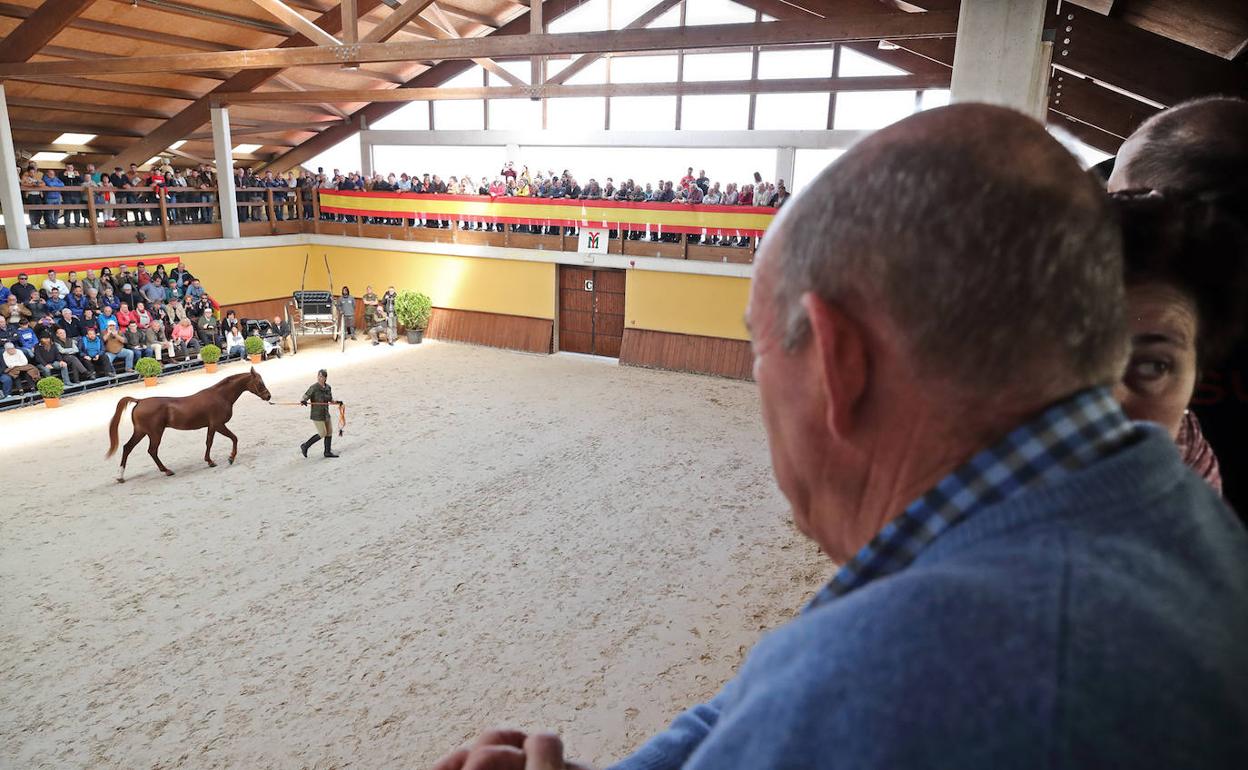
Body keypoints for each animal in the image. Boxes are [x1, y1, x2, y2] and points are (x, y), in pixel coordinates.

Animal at [107, 366, 273, 479]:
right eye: (260, 383)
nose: (268, 396)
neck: (220, 396)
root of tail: (140, 401)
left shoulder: (211, 426)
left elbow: (209, 442)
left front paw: (210, 461)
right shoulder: (219, 425)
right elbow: (234, 438)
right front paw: (231, 458)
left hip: (141, 432)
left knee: (127, 447)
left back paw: (120, 476)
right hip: (155, 433)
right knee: (152, 451)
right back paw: (167, 470)